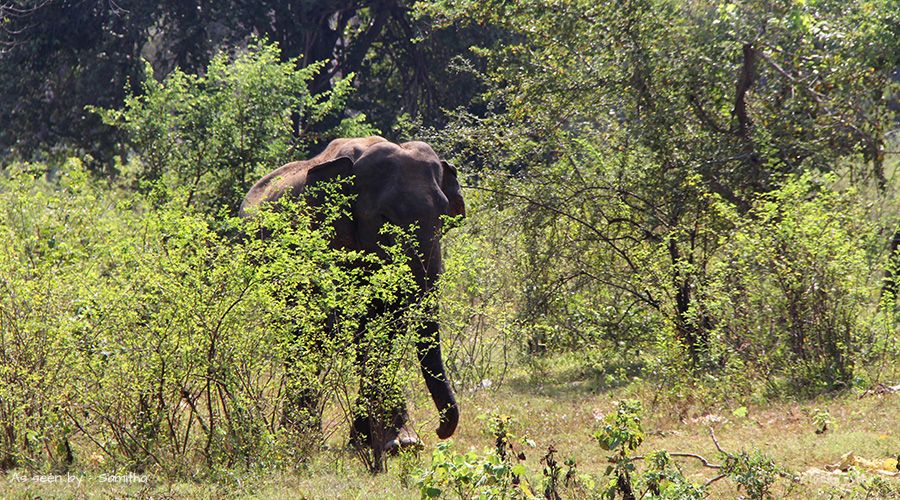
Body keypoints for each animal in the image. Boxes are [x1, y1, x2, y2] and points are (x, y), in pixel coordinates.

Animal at [239, 136, 464, 458]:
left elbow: (385, 328)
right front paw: (397, 442)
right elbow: (362, 328)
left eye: (443, 216)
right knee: (302, 338)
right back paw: (301, 436)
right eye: (385, 217)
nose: (439, 430)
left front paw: (391, 442)